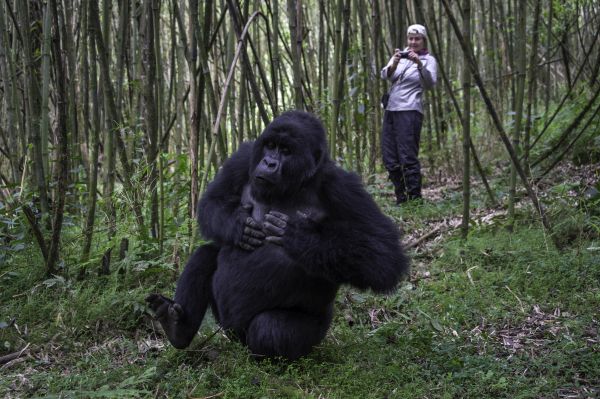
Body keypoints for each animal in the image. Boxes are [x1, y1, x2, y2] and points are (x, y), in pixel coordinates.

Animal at [146, 110, 408, 362]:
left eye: (286, 151)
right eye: (270, 145)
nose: (269, 162)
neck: (299, 182)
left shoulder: (343, 186)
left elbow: (383, 256)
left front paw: (299, 237)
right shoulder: (245, 156)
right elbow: (212, 200)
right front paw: (237, 225)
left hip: (307, 336)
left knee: (269, 328)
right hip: (226, 327)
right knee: (206, 254)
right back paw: (177, 328)